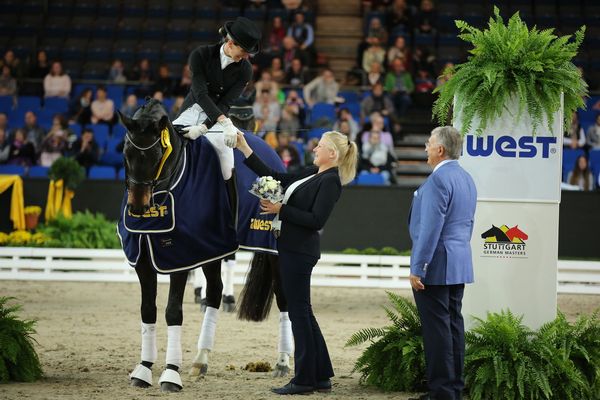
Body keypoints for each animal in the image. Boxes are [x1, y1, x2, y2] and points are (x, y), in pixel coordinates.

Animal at [116, 98, 290, 392]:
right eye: (126, 152)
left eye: (157, 154)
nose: (138, 207)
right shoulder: (144, 260)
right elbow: (147, 310)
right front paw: (144, 369)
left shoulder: (180, 256)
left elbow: (173, 312)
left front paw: (171, 374)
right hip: (212, 248)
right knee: (215, 293)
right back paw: (201, 359)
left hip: (271, 249)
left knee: (284, 298)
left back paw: (282, 363)